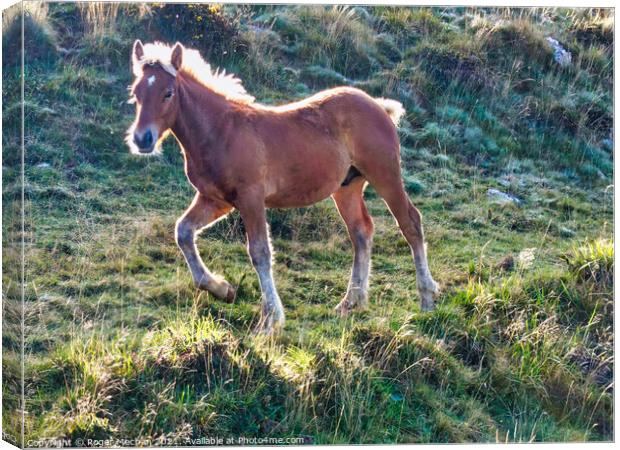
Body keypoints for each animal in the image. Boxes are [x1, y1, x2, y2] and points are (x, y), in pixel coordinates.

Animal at [126, 40, 438, 332]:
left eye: (168, 93)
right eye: (136, 93)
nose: (142, 139)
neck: (220, 130)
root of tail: (378, 105)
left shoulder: (251, 198)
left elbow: (260, 253)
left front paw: (270, 319)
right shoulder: (215, 200)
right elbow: (183, 232)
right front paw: (222, 289)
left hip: (385, 174)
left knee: (410, 223)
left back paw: (427, 298)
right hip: (346, 187)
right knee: (361, 232)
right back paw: (351, 301)